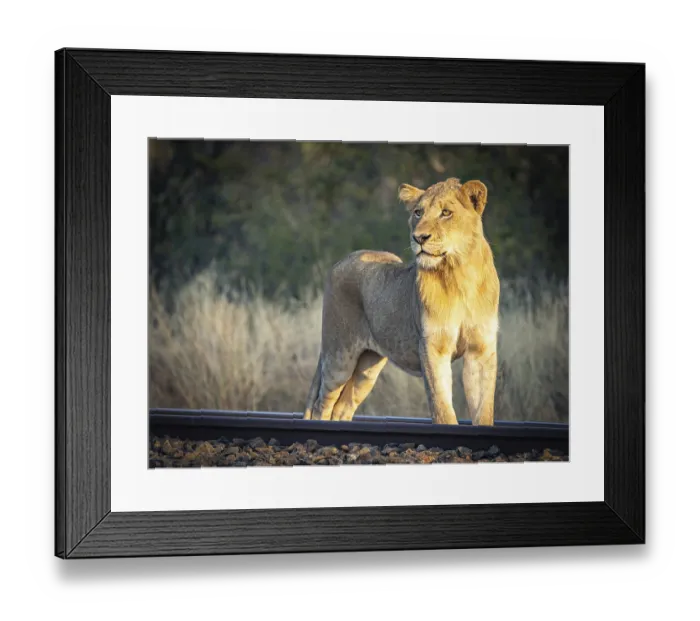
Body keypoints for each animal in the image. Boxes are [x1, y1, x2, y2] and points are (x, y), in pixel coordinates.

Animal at [303, 177, 500, 426]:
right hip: (339, 354)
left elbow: (484, 411)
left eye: (446, 212)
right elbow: (442, 408)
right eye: (418, 212)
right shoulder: (432, 347)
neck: (460, 274)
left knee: (342, 408)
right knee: (322, 405)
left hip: (367, 366)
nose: (419, 238)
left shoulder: (481, 349)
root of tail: (342, 260)